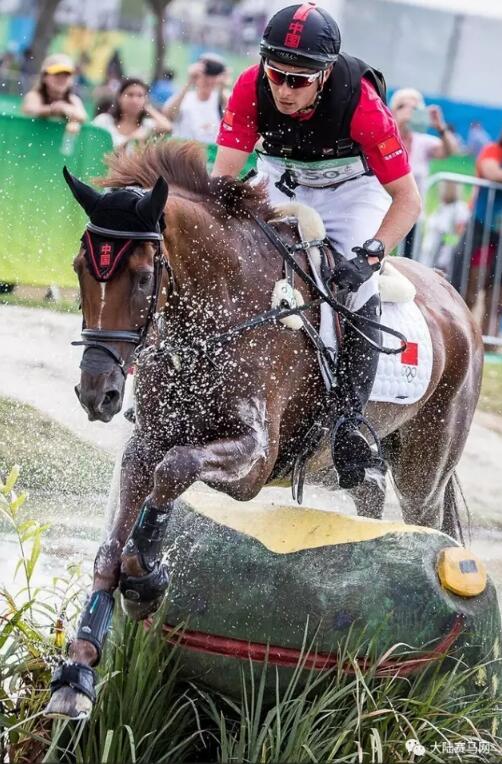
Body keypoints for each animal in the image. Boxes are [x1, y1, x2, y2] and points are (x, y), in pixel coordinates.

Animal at [45, 140, 483, 718]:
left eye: (141, 277)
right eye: (79, 268)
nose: (98, 393)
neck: (218, 312)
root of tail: (458, 300)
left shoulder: (253, 460)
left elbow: (174, 470)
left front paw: (146, 578)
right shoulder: (145, 443)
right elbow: (111, 545)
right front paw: (77, 671)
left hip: (426, 465)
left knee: (426, 517)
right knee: (368, 495)